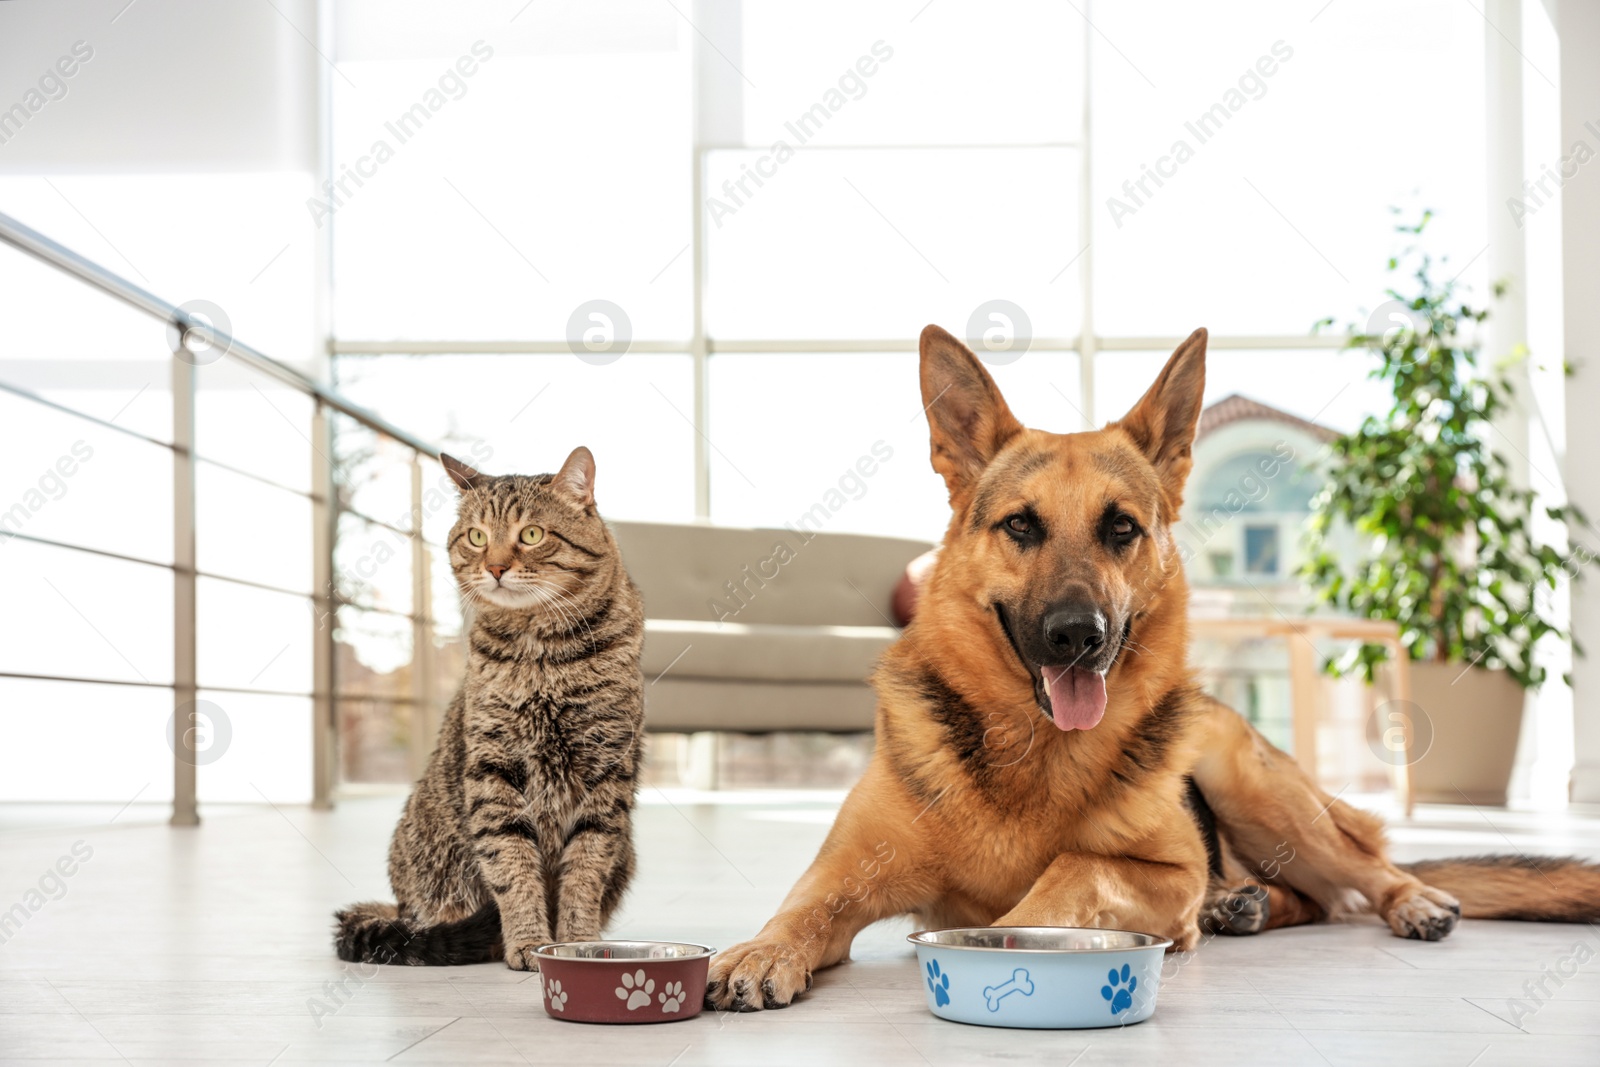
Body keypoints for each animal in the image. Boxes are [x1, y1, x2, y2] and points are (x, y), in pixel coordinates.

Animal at [334, 447, 646, 972]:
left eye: (532, 534)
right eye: (477, 537)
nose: (496, 567)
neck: (542, 654)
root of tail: (398, 907)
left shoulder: (607, 774)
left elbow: (585, 871)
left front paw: (577, 941)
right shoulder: (493, 771)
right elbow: (511, 863)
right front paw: (529, 941)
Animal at [707, 323, 1600, 1011]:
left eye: (1122, 528)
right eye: (1021, 526)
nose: (1078, 635)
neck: (1029, 748)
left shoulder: (1165, 872)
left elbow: (1074, 868)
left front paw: (1015, 933)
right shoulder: (839, 875)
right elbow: (799, 912)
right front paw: (757, 950)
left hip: (1255, 787)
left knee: (1364, 874)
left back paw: (1405, 900)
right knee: (1311, 900)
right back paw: (1244, 904)